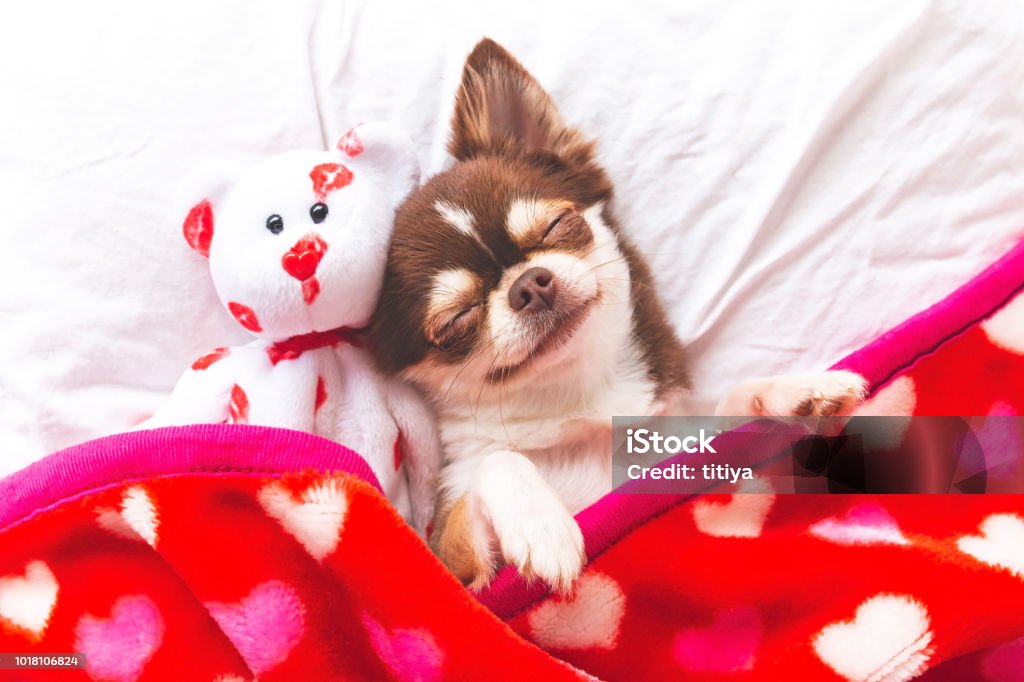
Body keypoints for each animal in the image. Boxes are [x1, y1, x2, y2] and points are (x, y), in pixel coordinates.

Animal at [368, 39, 864, 589]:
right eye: (456, 321)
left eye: (558, 225)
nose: (528, 285)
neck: (586, 400)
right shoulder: (459, 572)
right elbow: (495, 462)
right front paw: (540, 523)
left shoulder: (682, 455)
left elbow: (726, 416)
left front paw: (788, 391)